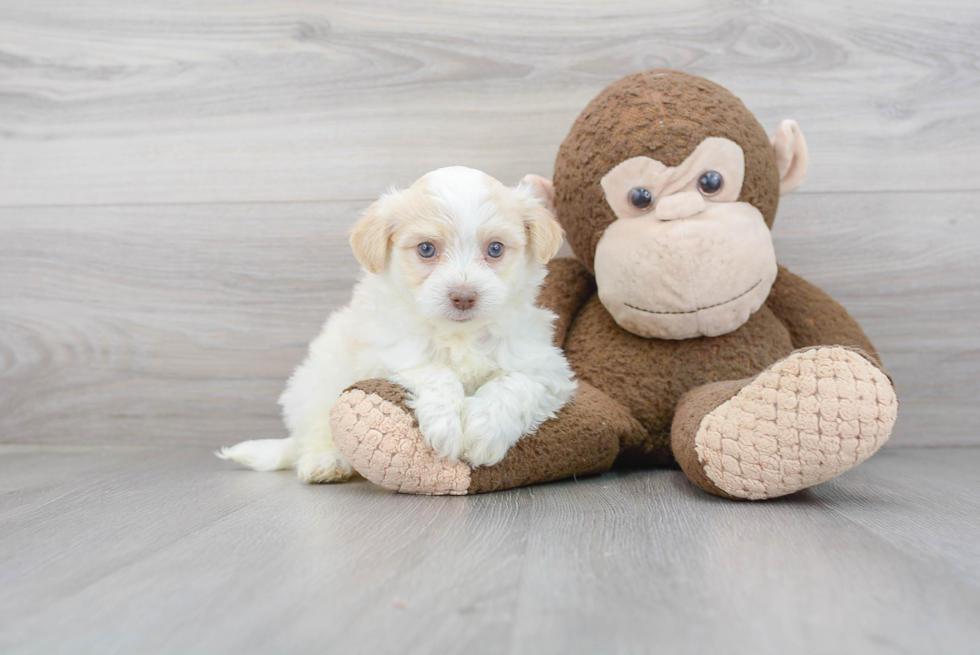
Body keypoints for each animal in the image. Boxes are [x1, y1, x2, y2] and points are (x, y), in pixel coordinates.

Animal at [218, 165, 580, 482]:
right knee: (315, 430)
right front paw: (446, 426)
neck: (459, 335)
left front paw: (485, 430)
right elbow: (434, 371)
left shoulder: (545, 368)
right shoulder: (388, 352)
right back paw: (325, 462)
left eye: (495, 249)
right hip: (314, 385)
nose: (463, 296)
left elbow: (513, 383)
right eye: (426, 249)